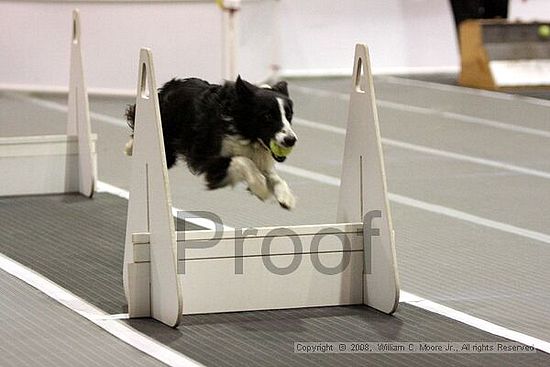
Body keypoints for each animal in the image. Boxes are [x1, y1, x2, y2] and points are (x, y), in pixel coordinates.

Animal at [126, 75, 298, 210]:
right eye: (267, 116)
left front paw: (286, 197)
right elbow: (243, 161)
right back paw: (129, 147)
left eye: (289, 115)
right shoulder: (208, 160)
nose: (291, 140)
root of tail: (170, 86)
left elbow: (274, 176)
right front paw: (260, 187)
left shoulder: (260, 159)